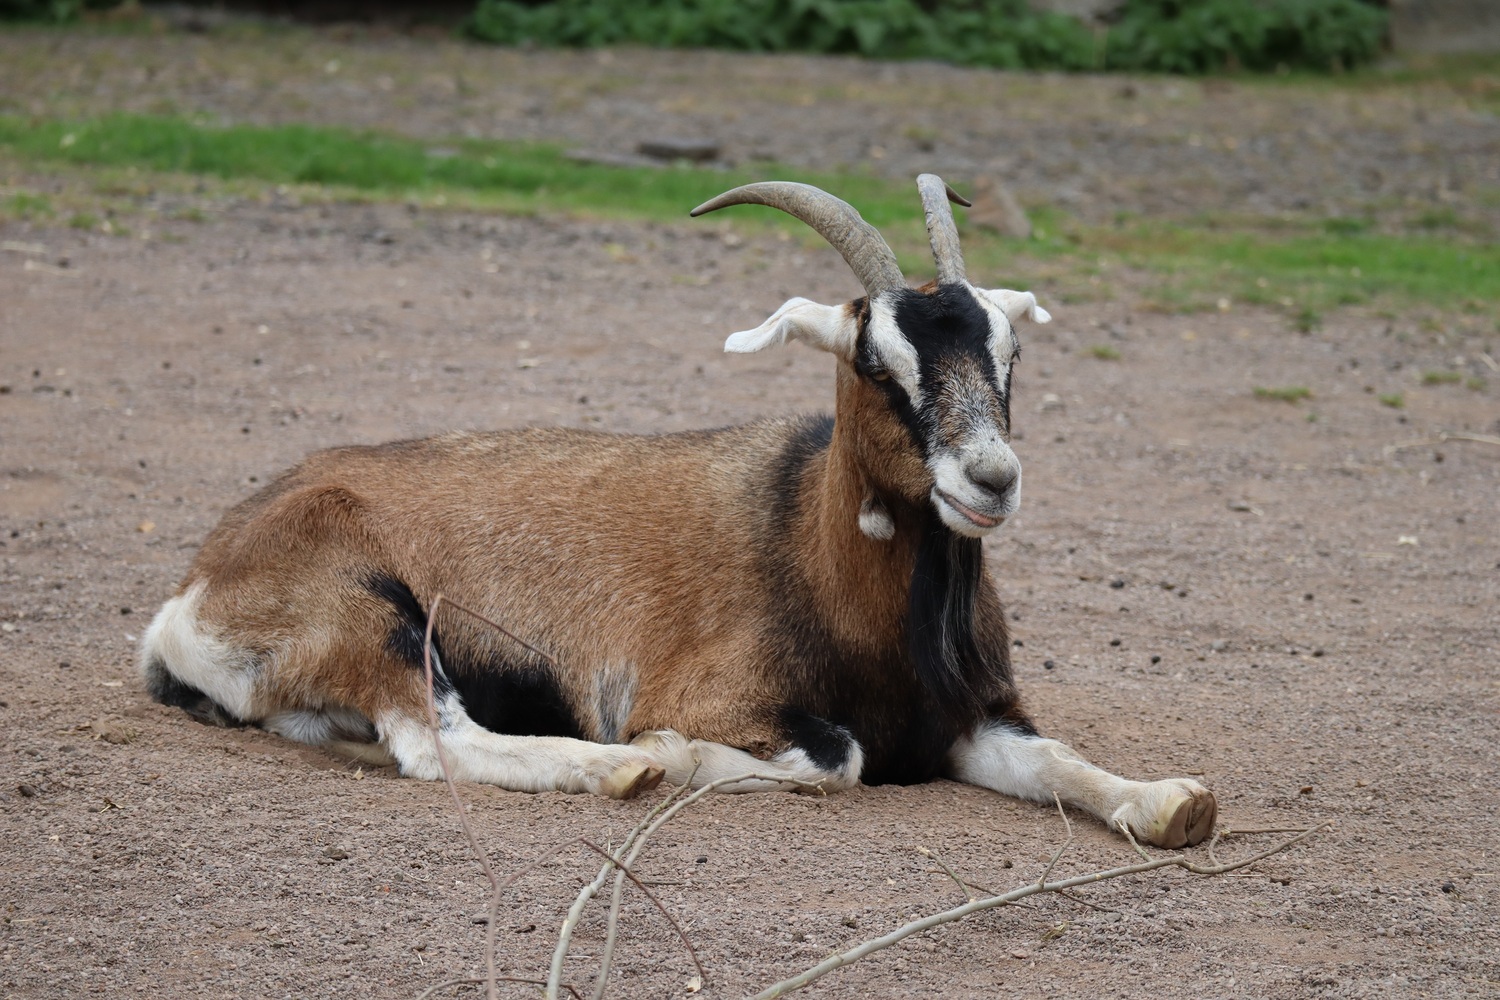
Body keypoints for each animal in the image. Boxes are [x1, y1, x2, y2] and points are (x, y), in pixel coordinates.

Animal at [141, 176, 1218, 851]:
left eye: (1010, 353)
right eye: (877, 363)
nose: (990, 479)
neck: (804, 536)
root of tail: (194, 591)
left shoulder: (976, 719)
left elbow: (1065, 762)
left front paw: (1174, 803)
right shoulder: (716, 696)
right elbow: (838, 756)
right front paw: (660, 752)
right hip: (380, 619)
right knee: (432, 738)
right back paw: (619, 772)